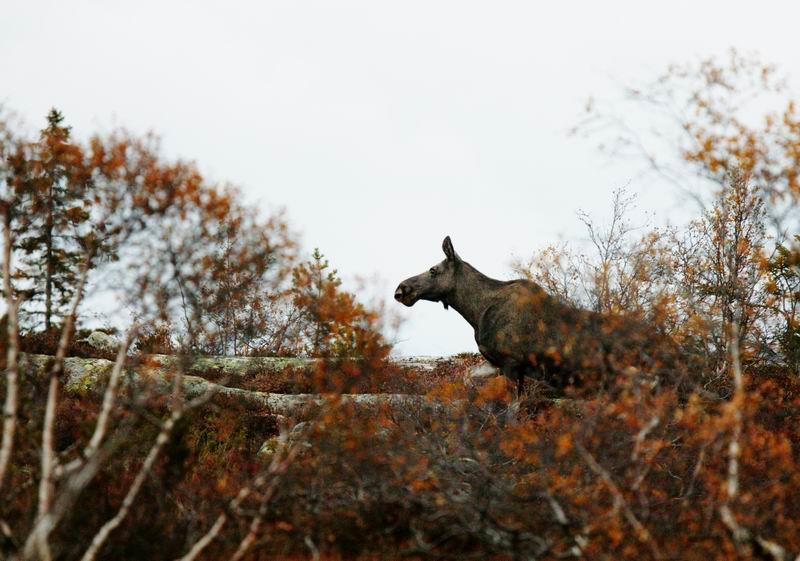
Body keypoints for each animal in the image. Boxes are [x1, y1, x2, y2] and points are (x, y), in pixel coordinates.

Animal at [396, 235, 680, 394]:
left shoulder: (512, 364)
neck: (475, 312)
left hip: (633, 373)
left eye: (433, 270)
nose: (402, 289)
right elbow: (466, 378)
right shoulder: (496, 363)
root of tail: (672, 347)